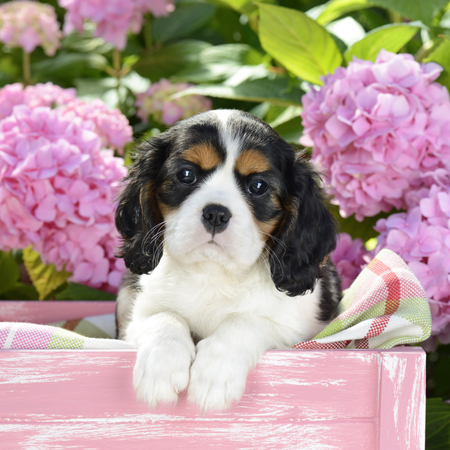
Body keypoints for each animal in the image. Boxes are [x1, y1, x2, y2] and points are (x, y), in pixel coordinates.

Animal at [113, 108, 342, 412]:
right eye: (186, 175)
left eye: (258, 186)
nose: (216, 214)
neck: (213, 271)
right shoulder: (136, 316)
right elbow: (164, 317)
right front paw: (160, 369)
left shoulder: (297, 330)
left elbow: (242, 320)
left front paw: (214, 377)